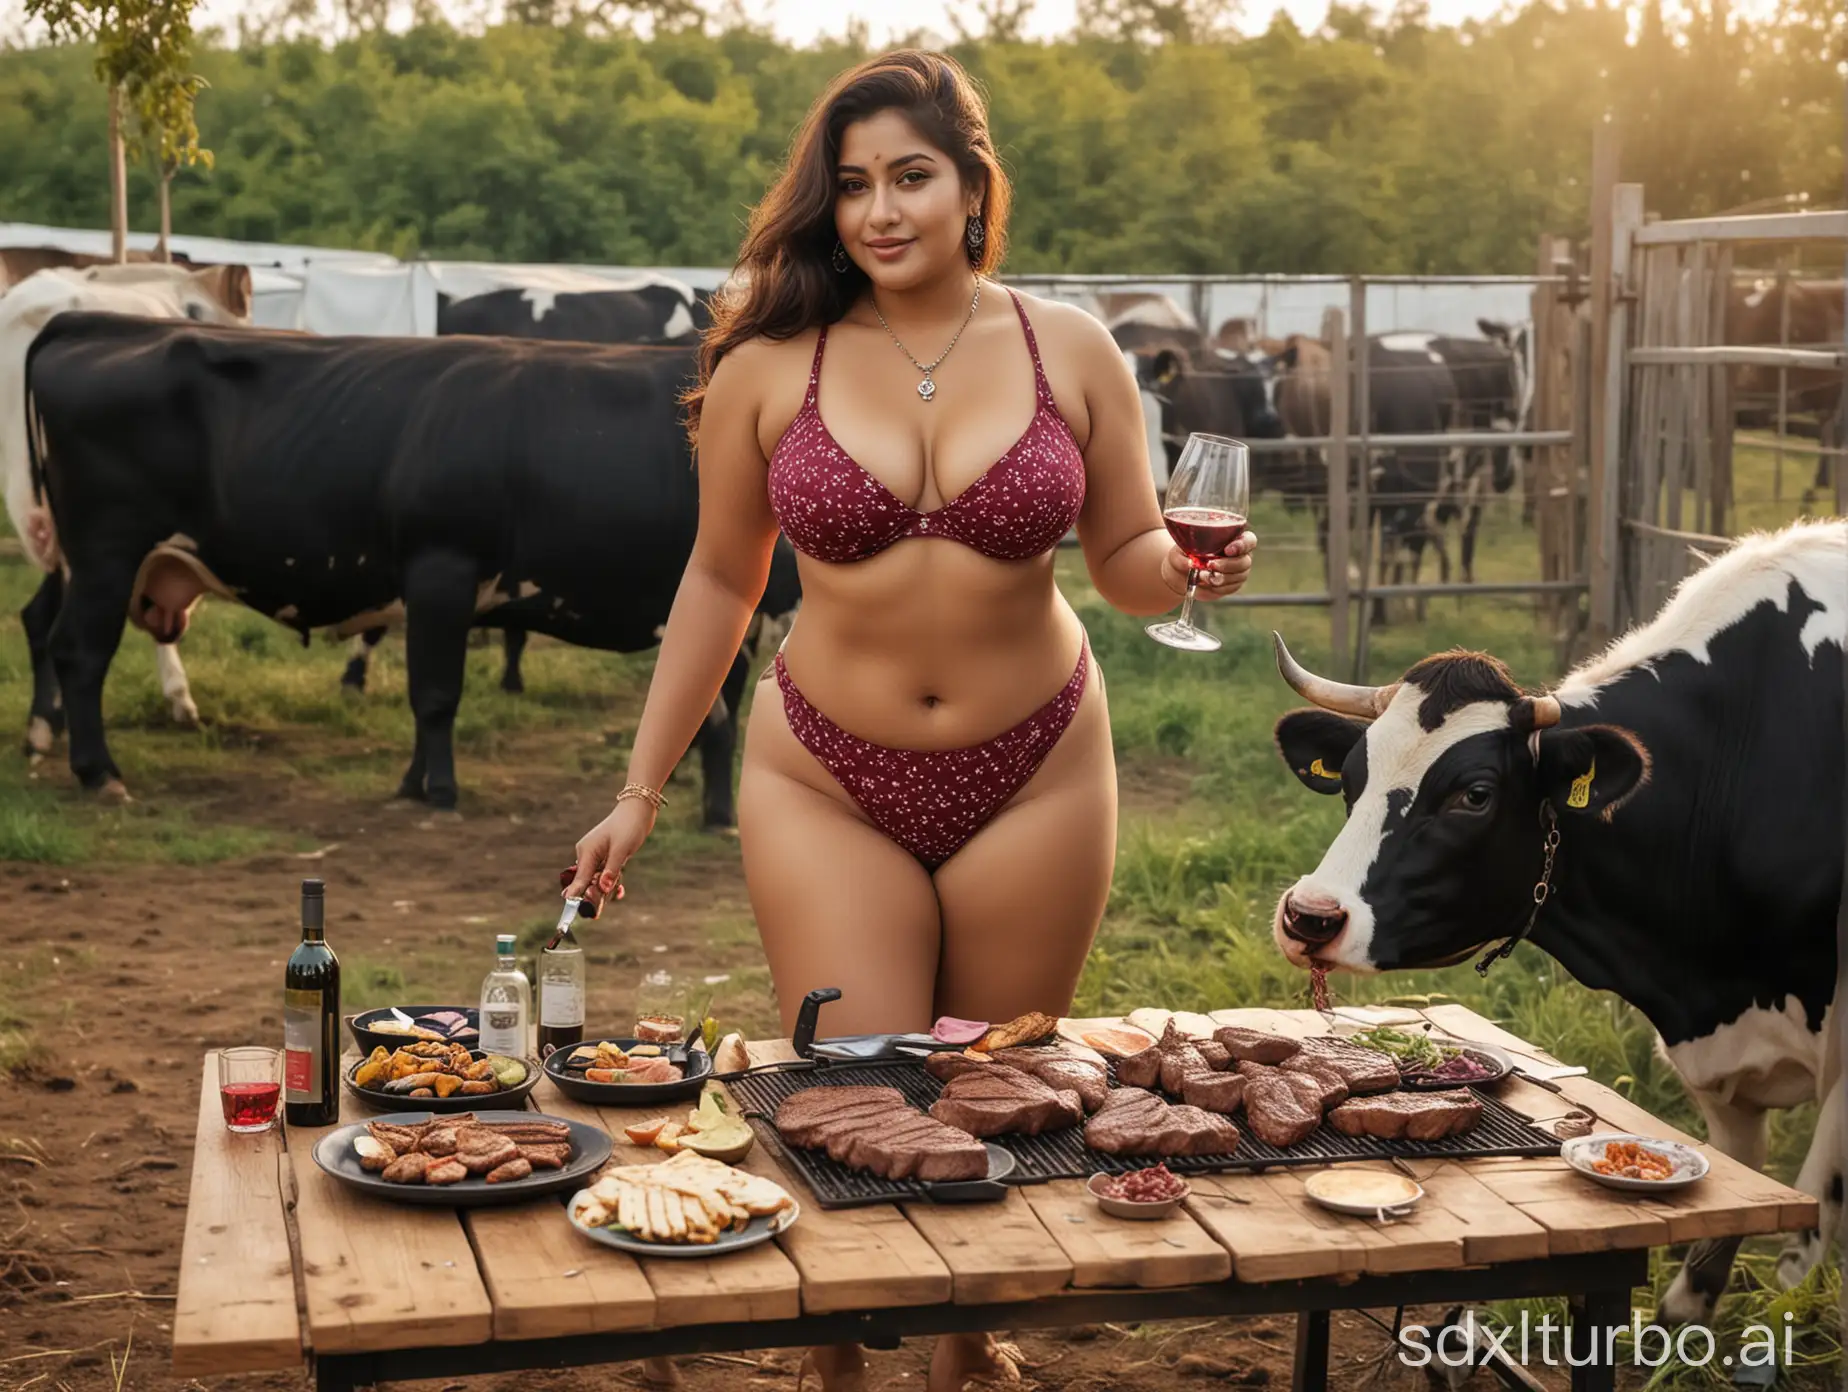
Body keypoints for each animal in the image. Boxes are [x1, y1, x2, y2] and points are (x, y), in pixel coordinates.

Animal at [23, 314, 802, 824]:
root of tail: (95, 323)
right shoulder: (440, 572)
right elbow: (434, 695)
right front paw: (439, 791)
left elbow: (717, 720)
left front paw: (720, 813)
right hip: (106, 551)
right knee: (79, 651)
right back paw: (99, 772)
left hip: (84, 560)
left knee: (44, 627)